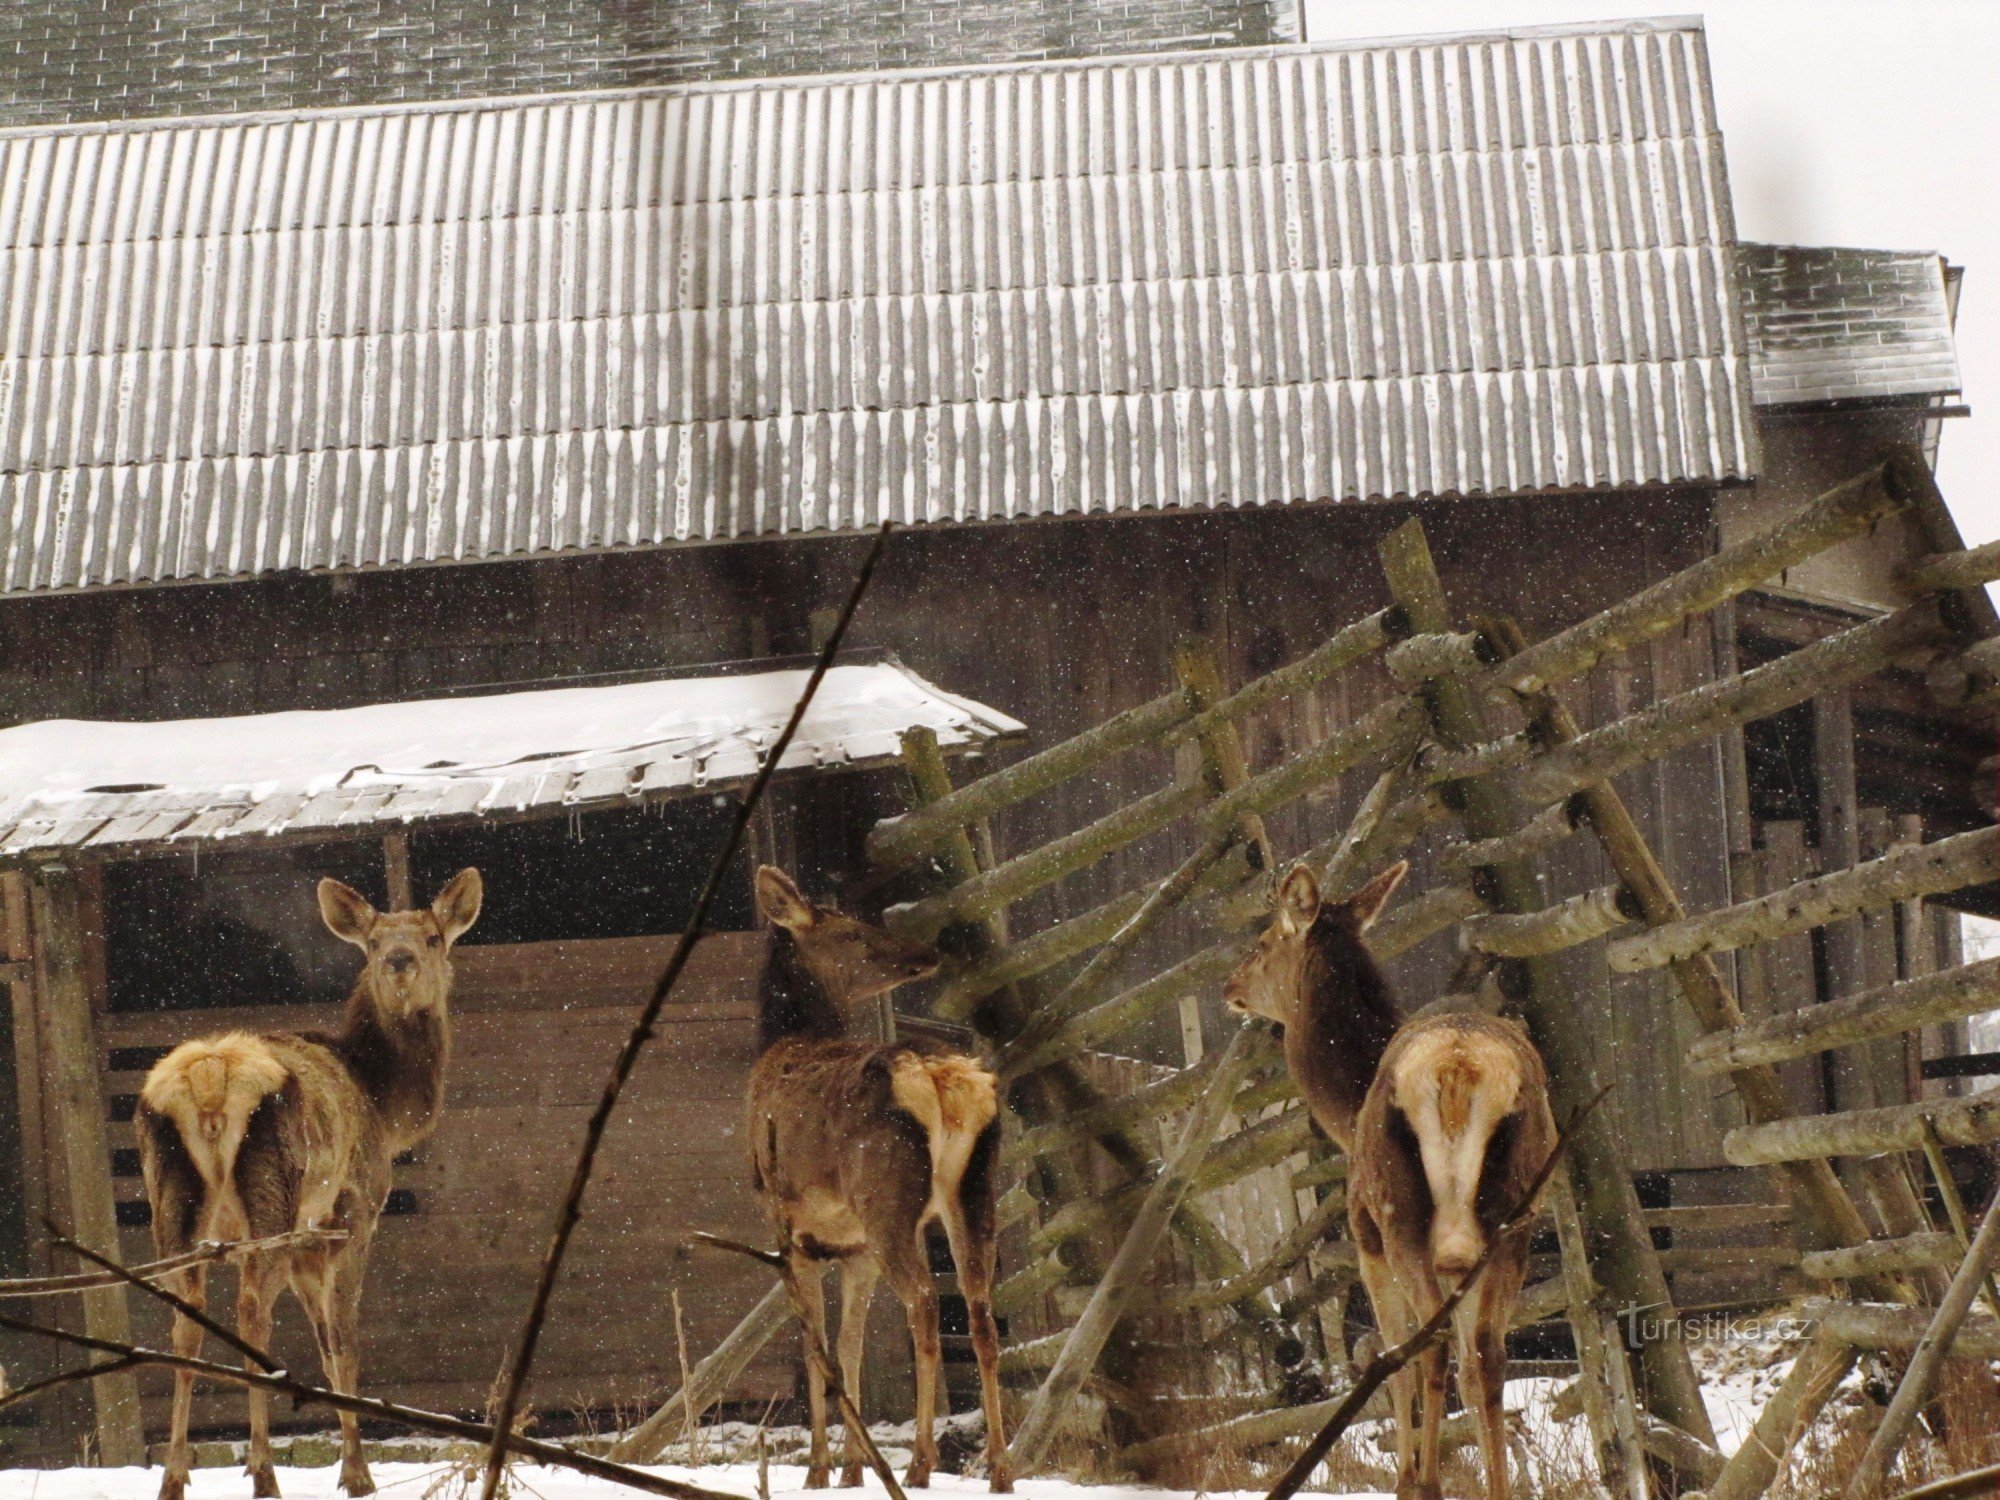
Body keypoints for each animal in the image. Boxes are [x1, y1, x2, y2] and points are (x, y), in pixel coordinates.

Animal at [134, 868, 484, 1500]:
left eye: (432, 937)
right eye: (373, 942)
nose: (399, 960)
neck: (386, 1107)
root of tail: (211, 1076)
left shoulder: (303, 1238)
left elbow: (323, 1345)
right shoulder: (349, 1211)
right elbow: (342, 1343)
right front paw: (356, 1472)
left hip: (171, 1207)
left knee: (183, 1322)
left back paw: (175, 1477)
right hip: (273, 1194)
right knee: (251, 1312)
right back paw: (265, 1474)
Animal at [744, 864, 1008, 1496]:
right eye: (854, 933)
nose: (926, 953)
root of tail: (941, 1080)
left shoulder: (788, 1229)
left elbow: (815, 1345)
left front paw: (820, 1468)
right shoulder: (852, 1246)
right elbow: (850, 1345)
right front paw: (853, 1467)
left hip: (887, 1199)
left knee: (925, 1304)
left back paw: (921, 1462)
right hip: (973, 1193)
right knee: (980, 1309)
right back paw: (1000, 1468)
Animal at [1216, 856, 1560, 1500]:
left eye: (1264, 941)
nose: (1230, 987)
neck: (1345, 1113)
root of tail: (1458, 1069)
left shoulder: (1363, 1234)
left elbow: (1389, 1359)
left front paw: (1409, 1474)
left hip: (1400, 1214)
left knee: (1426, 1350)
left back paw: (1421, 1483)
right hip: (1514, 1217)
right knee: (1489, 1355)